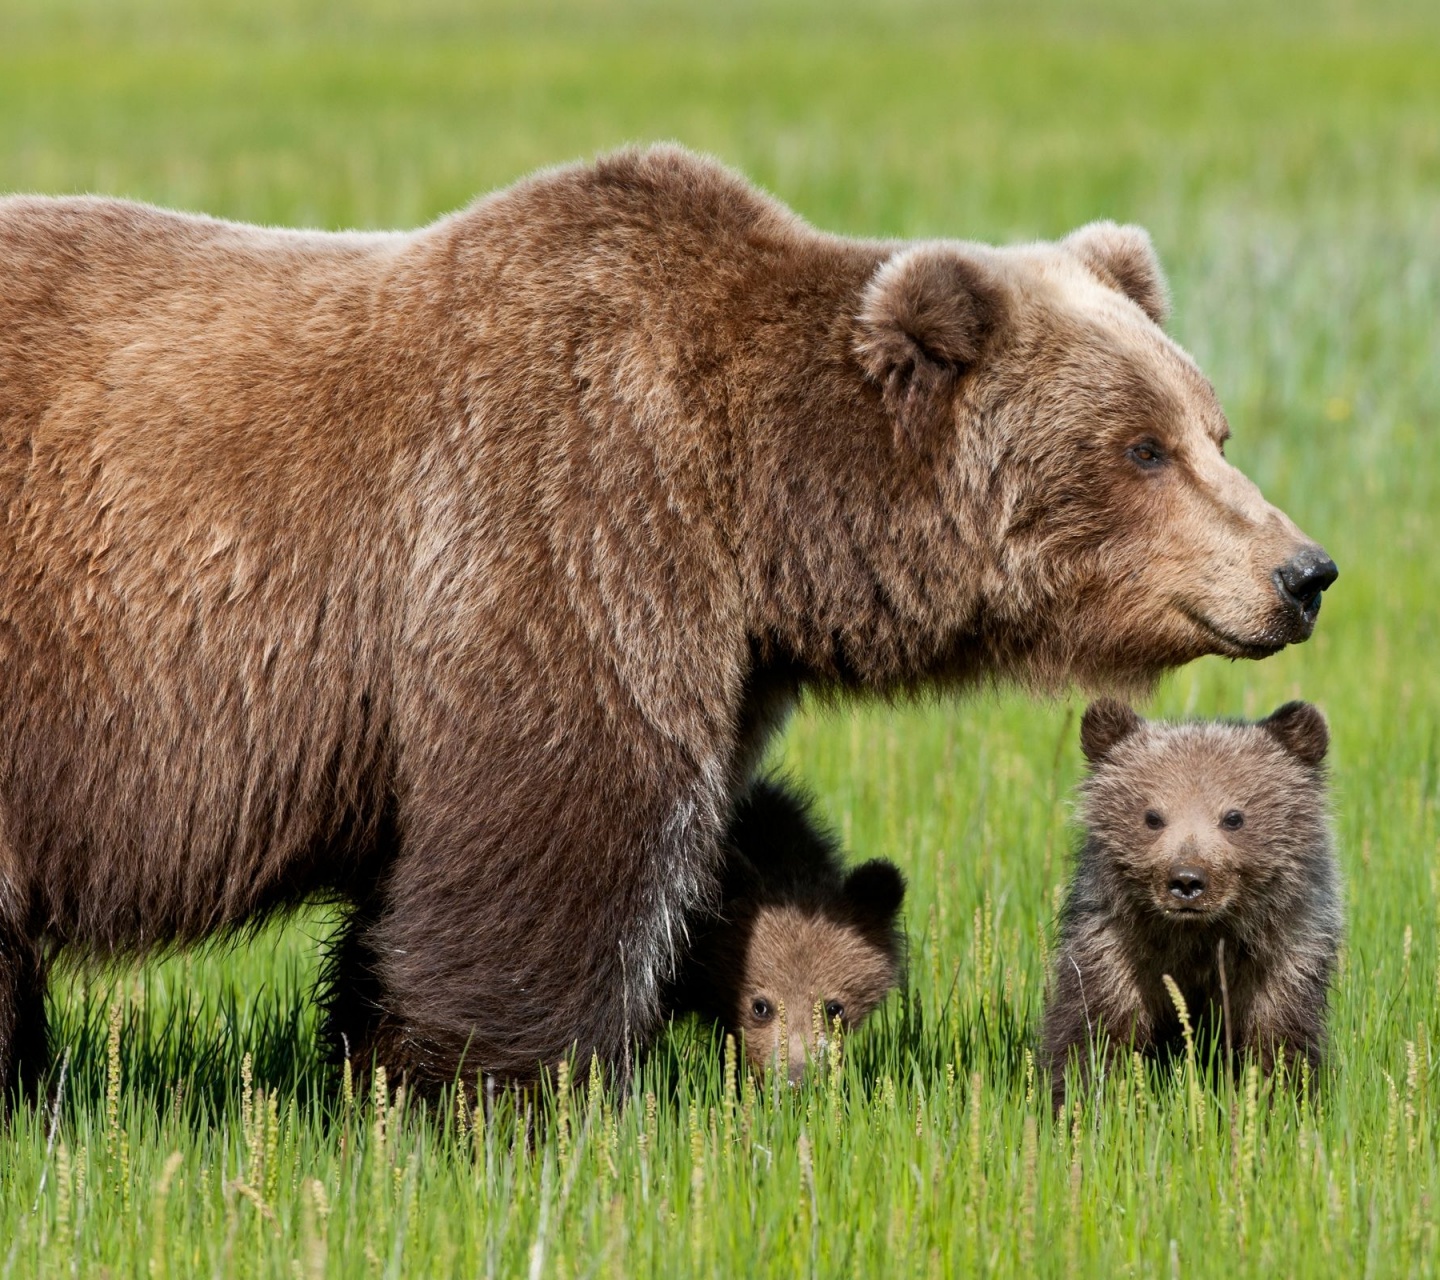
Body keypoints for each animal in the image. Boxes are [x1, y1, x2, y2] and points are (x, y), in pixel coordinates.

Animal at [0, 144, 1330, 1094]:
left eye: (1212, 426)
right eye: (1142, 446)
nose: (1303, 569)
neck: (759, 508)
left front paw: (376, 1058)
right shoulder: (568, 526)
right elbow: (559, 835)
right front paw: (511, 1088)